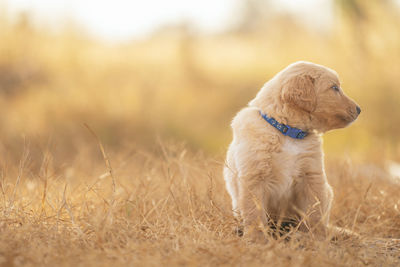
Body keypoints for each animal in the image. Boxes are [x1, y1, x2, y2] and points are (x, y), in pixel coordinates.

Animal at [223, 61, 360, 242]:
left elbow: (314, 211)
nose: (359, 109)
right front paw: (257, 238)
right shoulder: (254, 177)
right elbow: (254, 212)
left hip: (327, 192)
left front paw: (316, 237)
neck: (287, 132)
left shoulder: (311, 176)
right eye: (334, 88)